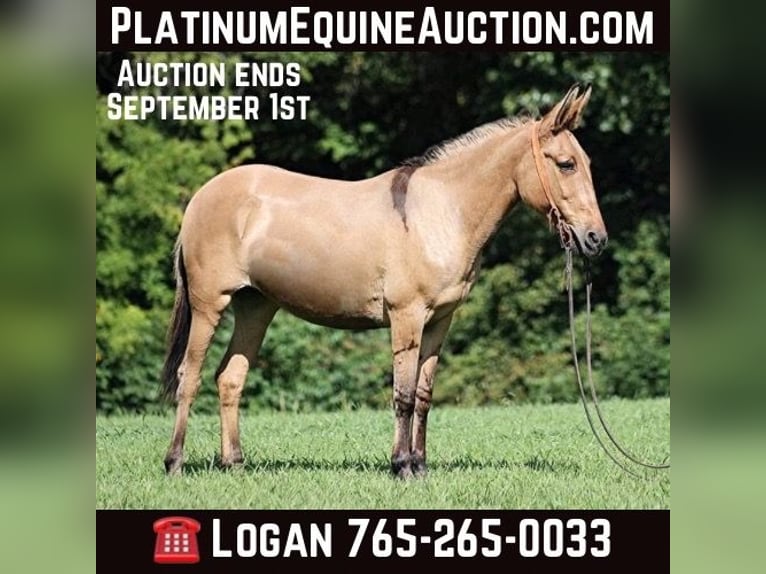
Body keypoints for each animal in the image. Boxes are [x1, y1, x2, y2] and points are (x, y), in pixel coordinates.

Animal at [160, 83, 607, 479]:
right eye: (565, 164)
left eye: (588, 163)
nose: (596, 239)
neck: (440, 213)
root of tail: (200, 198)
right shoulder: (406, 317)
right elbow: (403, 395)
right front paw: (402, 466)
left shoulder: (439, 321)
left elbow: (424, 396)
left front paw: (421, 466)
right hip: (210, 305)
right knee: (190, 377)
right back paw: (175, 462)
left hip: (256, 306)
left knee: (230, 379)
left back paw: (233, 464)